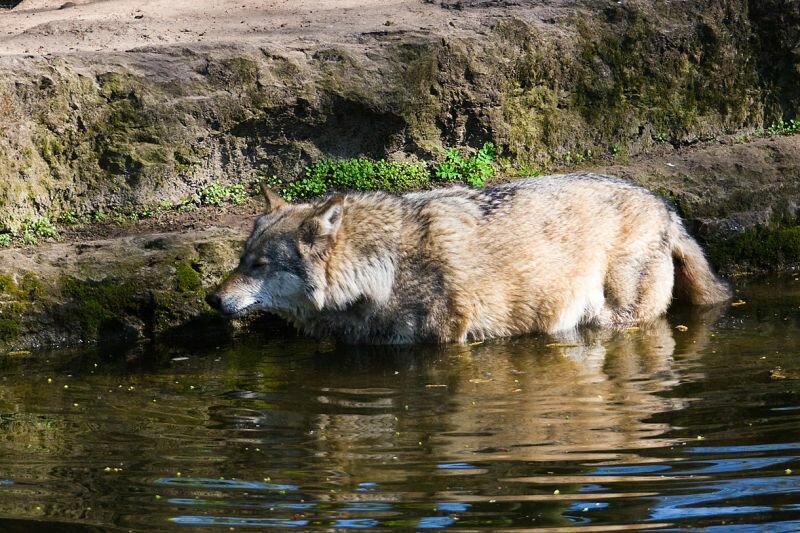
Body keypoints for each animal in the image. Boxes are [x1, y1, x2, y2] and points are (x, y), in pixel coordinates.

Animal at [205, 172, 732, 342]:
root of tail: (665, 204)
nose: (210, 299)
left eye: (259, 266)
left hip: (610, 318)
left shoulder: (450, 341)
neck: (382, 269)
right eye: (242, 259)